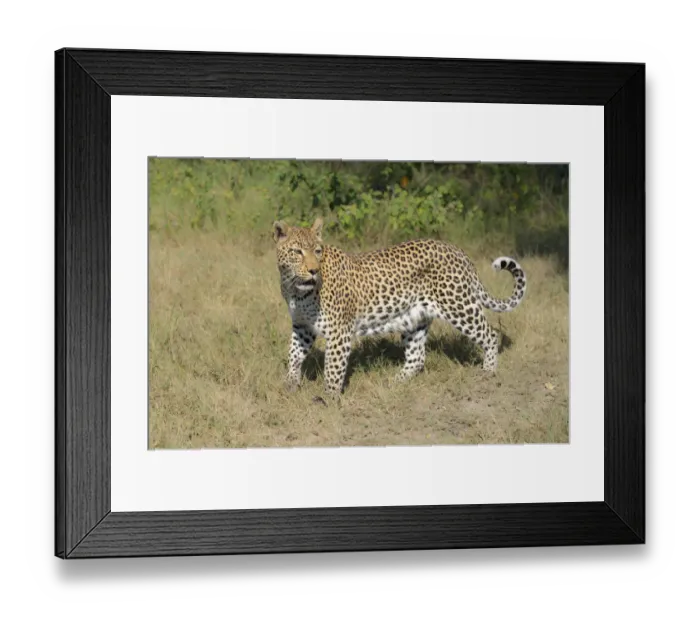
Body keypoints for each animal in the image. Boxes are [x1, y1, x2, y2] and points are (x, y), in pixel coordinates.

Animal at [273, 217, 527, 399]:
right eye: (297, 252)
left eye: (317, 251)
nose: (313, 270)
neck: (295, 289)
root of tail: (458, 251)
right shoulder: (302, 326)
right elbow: (294, 354)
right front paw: (289, 384)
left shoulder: (339, 332)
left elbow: (333, 368)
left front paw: (328, 398)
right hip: (414, 318)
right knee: (417, 356)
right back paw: (393, 383)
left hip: (459, 305)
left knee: (490, 334)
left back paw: (488, 373)